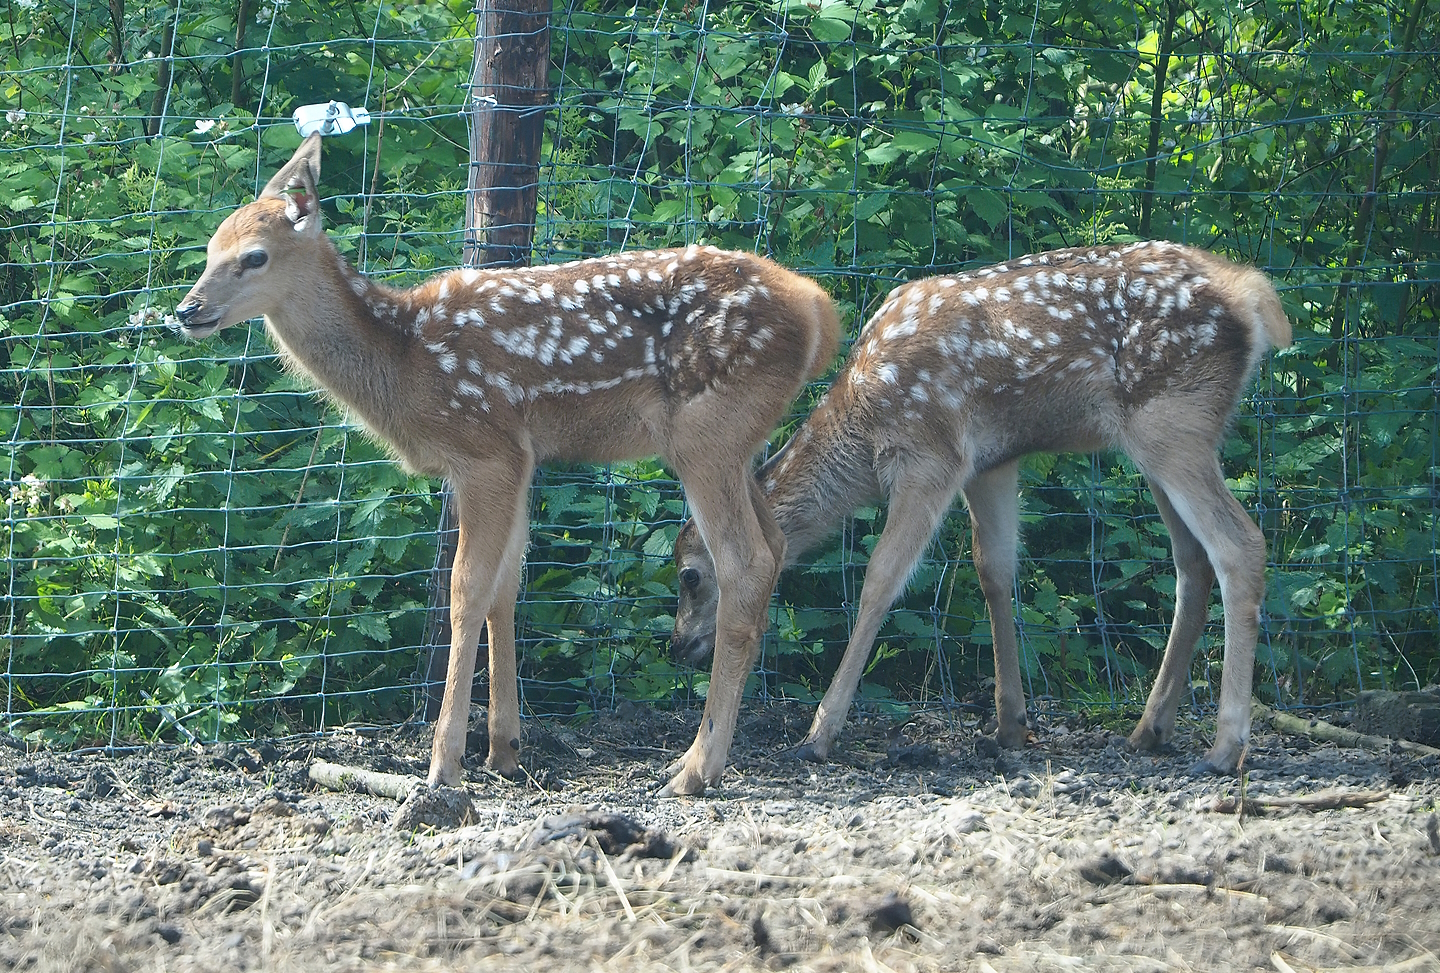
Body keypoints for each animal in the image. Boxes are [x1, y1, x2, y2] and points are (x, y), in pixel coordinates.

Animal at [175, 134, 840, 796]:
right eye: (208, 249)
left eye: (254, 257)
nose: (187, 309)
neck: (404, 363)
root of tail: (818, 310)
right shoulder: (521, 459)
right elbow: (504, 588)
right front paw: (504, 750)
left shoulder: (484, 452)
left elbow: (465, 590)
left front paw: (444, 764)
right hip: (739, 443)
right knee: (777, 545)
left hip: (705, 435)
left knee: (744, 564)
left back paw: (695, 768)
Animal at [671, 241, 1291, 775]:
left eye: (690, 576)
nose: (678, 646)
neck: (864, 428)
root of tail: (1252, 294)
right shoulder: (990, 463)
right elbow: (993, 569)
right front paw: (1010, 723)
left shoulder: (930, 455)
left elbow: (881, 579)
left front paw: (819, 734)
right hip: (1162, 438)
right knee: (1192, 561)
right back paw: (1149, 729)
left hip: (1174, 423)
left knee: (1239, 544)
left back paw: (1225, 747)